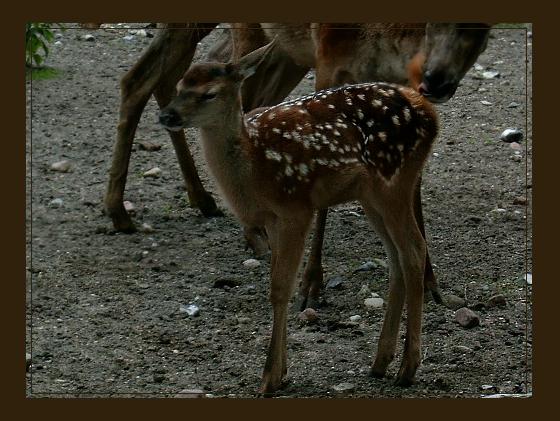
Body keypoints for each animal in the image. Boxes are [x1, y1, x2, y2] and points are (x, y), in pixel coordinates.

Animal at [158, 41, 438, 392]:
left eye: (209, 94)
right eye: (181, 85)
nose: (166, 115)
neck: (254, 167)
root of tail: (431, 115)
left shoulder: (296, 208)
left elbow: (280, 288)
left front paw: (268, 378)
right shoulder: (272, 219)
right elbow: (276, 286)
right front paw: (281, 372)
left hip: (394, 181)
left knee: (414, 250)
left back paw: (407, 368)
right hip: (370, 195)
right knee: (396, 258)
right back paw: (380, 362)